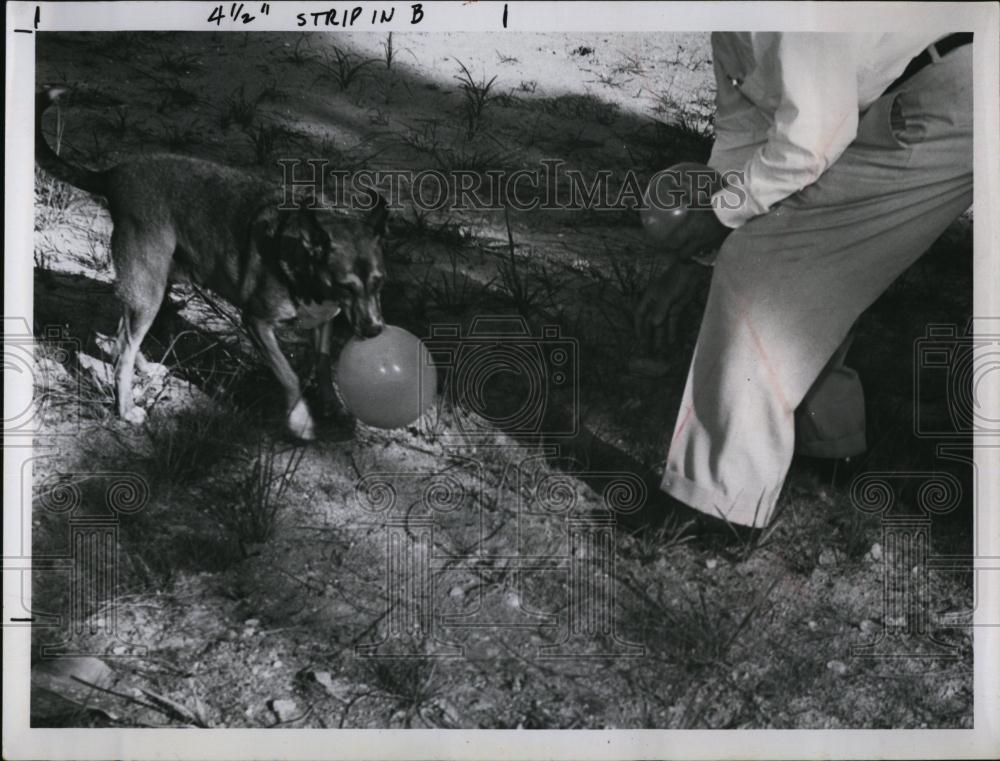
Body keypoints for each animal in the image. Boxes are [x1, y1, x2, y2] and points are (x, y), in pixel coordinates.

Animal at [35, 87, 388, 440]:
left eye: (379, 282)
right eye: (345, 286)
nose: (375, 330)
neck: (299, 256)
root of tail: (114, 176)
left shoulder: (323, 321)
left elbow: (324, 366)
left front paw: (335, 407)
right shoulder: (257, 323)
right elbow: (290, 375)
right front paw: (301, 420)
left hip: (152, 285)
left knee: (124, 337)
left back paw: (145, 369)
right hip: (149, 290)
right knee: (124, 351)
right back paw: (126, 410)